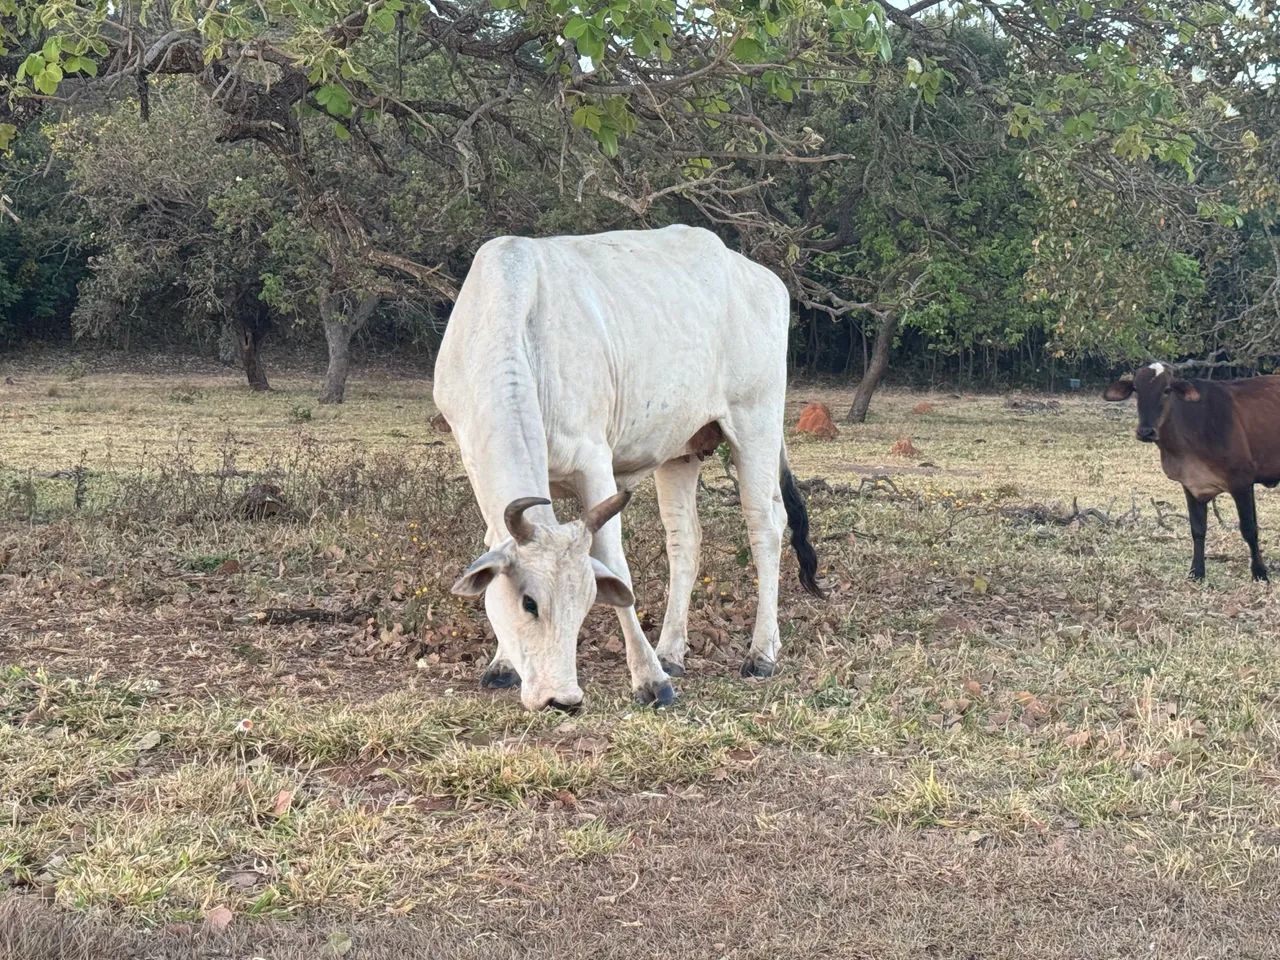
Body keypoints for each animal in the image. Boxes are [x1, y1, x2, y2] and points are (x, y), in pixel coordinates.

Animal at [432, 225, 822, 712]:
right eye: (528, 603)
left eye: (586, 602)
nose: (561, 698)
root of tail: (764, 278)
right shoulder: (471, 457)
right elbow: (494, 541)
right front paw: (502, 663)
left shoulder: (593, 460)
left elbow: (614, 559)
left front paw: (651, 680)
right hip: (681, 450)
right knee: (684, 540)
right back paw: (672, 650)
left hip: (757, 423)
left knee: (765, 526)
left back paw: (761, 652)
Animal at [1104, 361, 1280, 582]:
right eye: (1136, 389)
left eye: (1167, 390)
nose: (1145, 432)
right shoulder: (1190, 485)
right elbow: (1197, 529)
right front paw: (1196, 572)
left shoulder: (1242, 481)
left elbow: (1249, 528)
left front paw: (1260, 572)